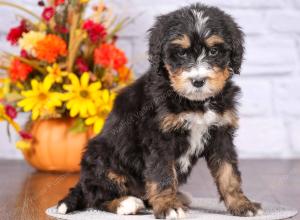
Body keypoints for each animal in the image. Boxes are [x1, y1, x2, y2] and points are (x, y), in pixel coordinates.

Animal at [56, 3, 262, 218]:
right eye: (182, 53)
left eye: (214, 51)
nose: (198, 81)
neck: (196, 103)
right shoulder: (159, 137)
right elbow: (162, 173)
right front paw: (168, 205)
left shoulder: (221, 132)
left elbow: (228, 172)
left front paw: (241, 204)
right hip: (100, 156)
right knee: (96, 195)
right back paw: (126, 203)